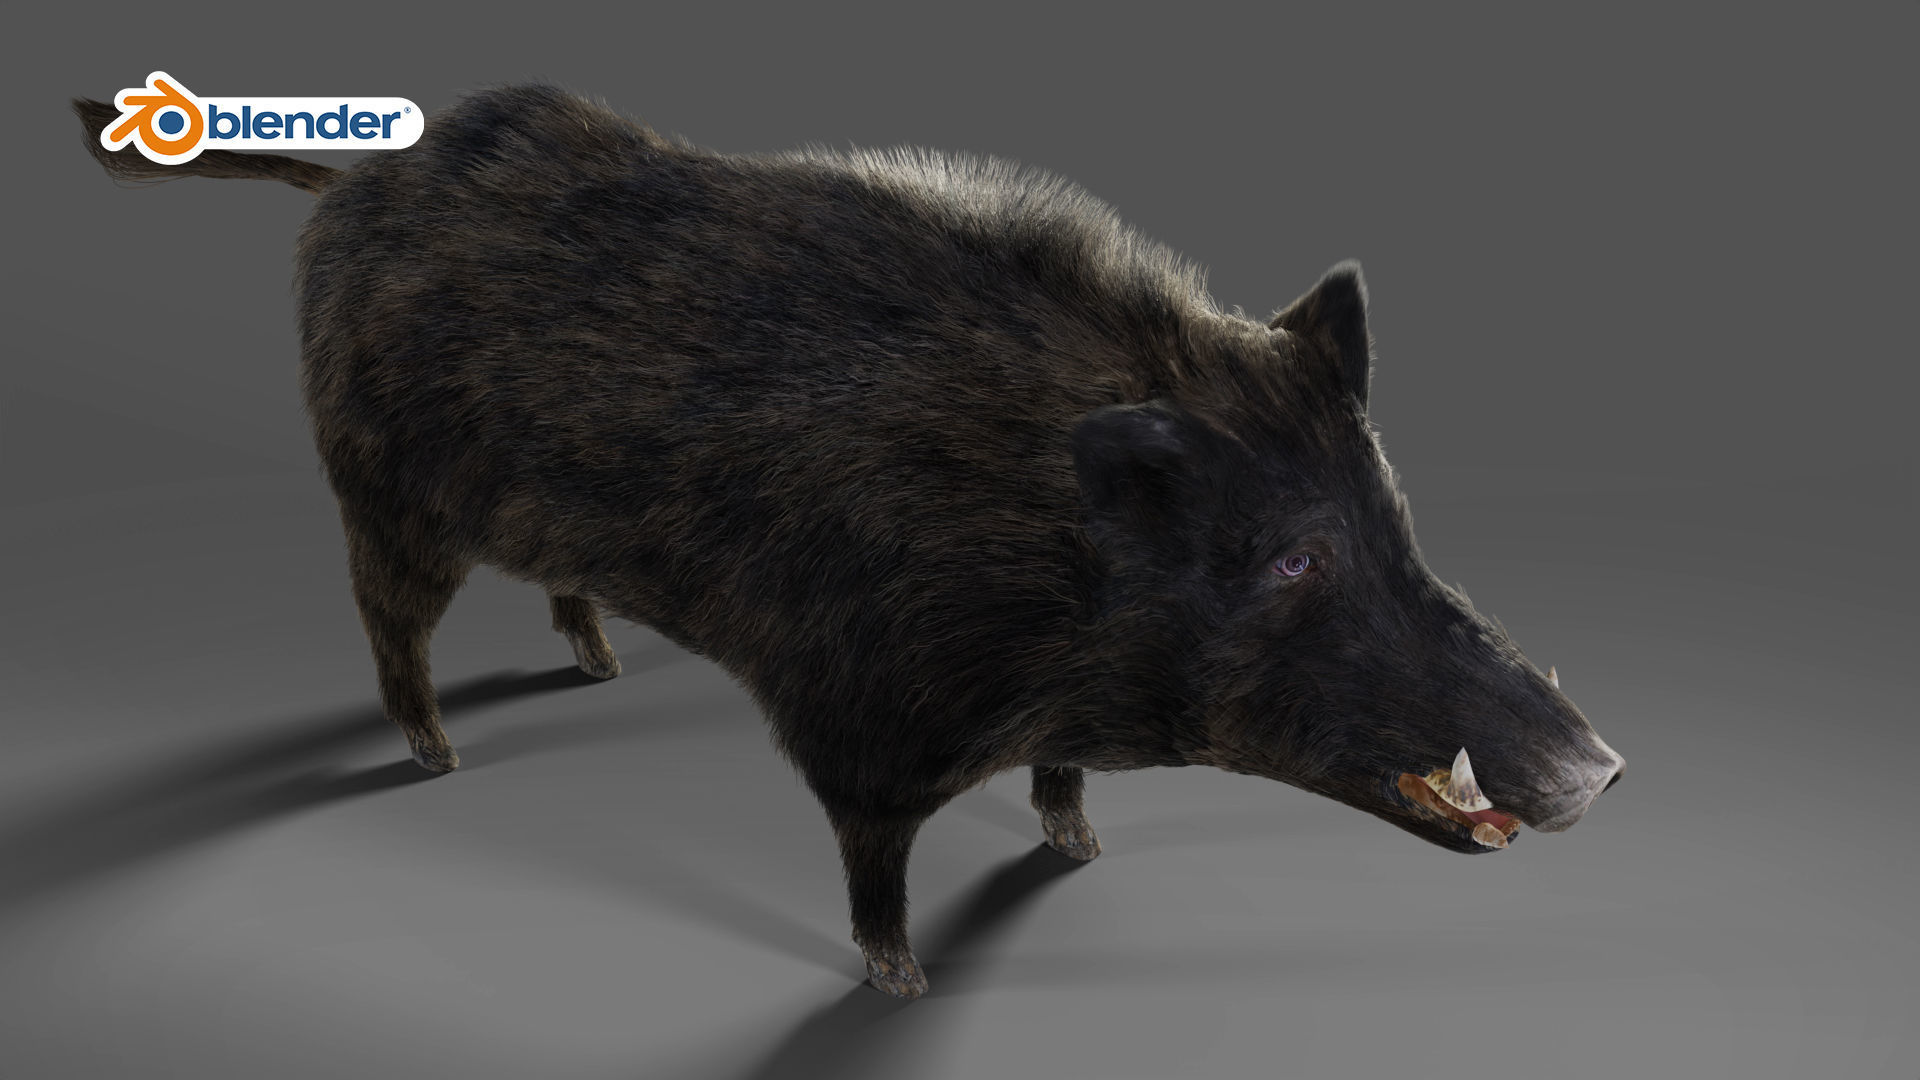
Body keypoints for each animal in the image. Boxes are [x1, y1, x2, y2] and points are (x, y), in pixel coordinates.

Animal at [73, 84, 1624, 998]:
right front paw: (901, 983)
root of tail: (350, 189)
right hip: (380, 490)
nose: (1603, 768)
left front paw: (1078, 854)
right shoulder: (856, 718)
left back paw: (599, 670)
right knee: (387, 624)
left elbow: (1057, 787)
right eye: (1295, 559)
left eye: (1391, 513)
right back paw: (437, 756)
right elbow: (873, 861)